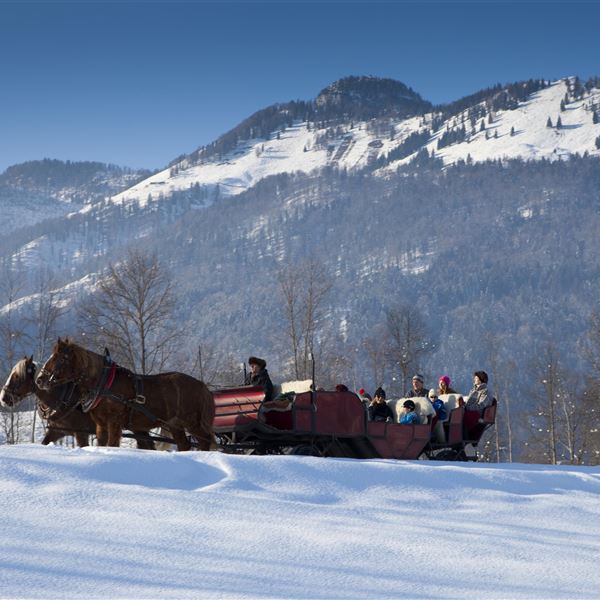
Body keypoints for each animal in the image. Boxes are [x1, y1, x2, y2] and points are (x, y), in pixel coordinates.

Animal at [1, 354, 155, 448]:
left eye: (17, 376)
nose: (3, 397)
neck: (64, 398)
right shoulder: (57, 431)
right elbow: (44, 442)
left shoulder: (81, 433)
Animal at [36, 338, 214, 450]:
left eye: (60, 358)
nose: (40, 379)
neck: (104, 383)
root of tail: (201, 385)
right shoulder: (100, 424)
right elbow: (102, 444)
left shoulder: (114, 422)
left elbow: (112, 444)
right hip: (174, 424)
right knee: (185, 444)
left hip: (192, 422)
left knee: (205, 441)